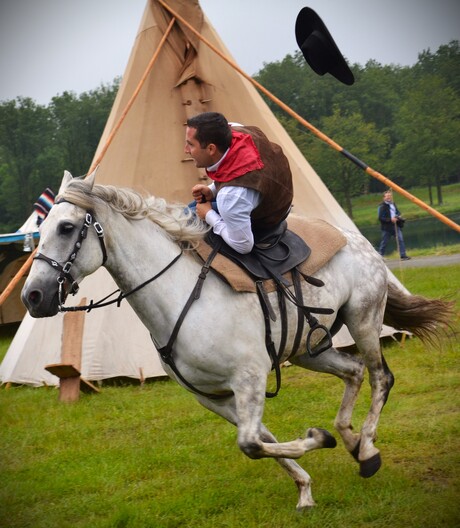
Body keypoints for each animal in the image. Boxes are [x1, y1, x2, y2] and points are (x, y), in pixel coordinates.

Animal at [21, 171, 452, 510]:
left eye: (66, 228)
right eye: (39, 232)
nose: (33, 297)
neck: (179, 295)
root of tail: (358, 241)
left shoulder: (249, 378)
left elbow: (251, 443)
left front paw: (318, 439)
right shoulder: (213, 395)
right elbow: (260, 438)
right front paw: (305, 488)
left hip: (363, 322)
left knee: (380, 377)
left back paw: (366, 448)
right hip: (312, 350)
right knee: (354, 371)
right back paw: (351, 440)